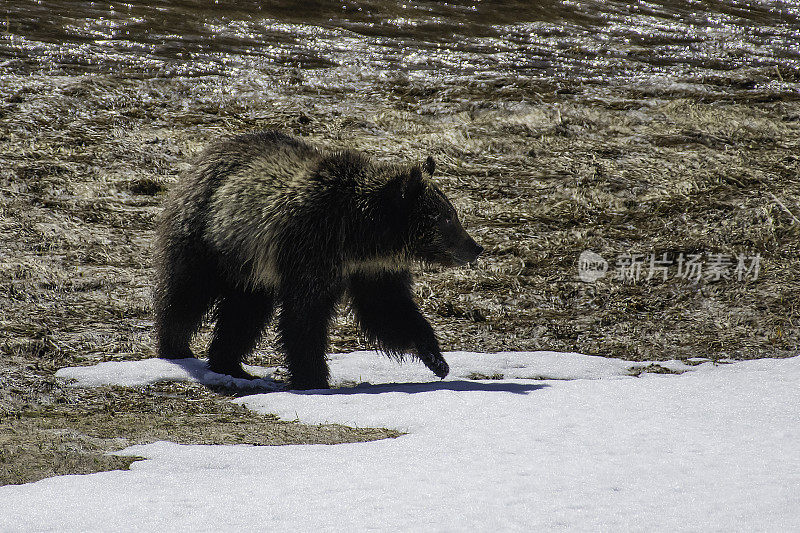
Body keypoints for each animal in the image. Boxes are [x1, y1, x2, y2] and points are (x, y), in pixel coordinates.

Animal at [154, 131, 484, 388]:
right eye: (446, 217)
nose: (475, 247)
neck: (360, 237)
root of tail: (209, 151)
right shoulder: (311, 249)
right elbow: (305, 317)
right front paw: (313, 378)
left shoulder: (373, 270)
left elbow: (388, 309)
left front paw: (436, 358)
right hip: (207, 238)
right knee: (187, 293)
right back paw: (176, 348)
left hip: (250, 268)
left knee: (244, 312)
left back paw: (231, 365)